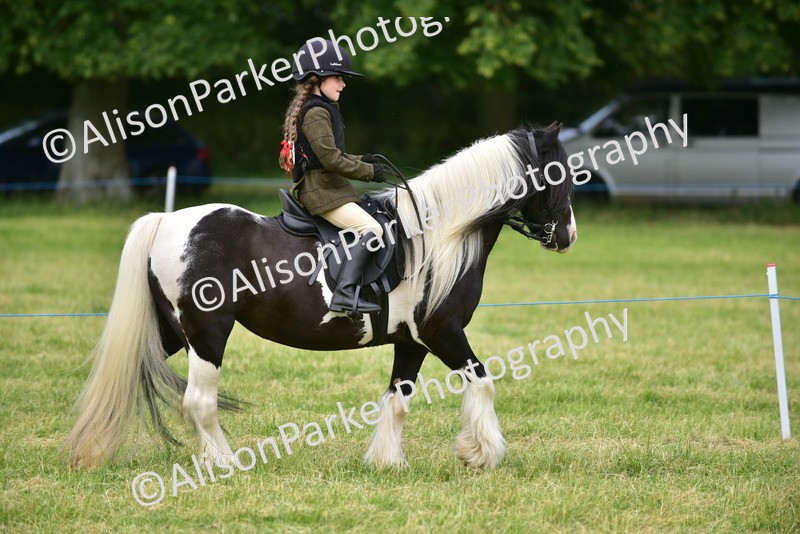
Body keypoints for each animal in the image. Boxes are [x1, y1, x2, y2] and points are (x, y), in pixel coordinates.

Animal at [67, 122, 577, 470]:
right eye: (558, 175)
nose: (568, 236)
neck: (438, 235)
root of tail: (166, 221)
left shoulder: (411, 341)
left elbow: (398, 399)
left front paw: (387, 463)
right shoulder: (442, 332)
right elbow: (483, 382)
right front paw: (480, 453)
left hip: (172, 331)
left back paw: (92, 448)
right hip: (207, 334)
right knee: (199, 403)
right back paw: (225, 463)